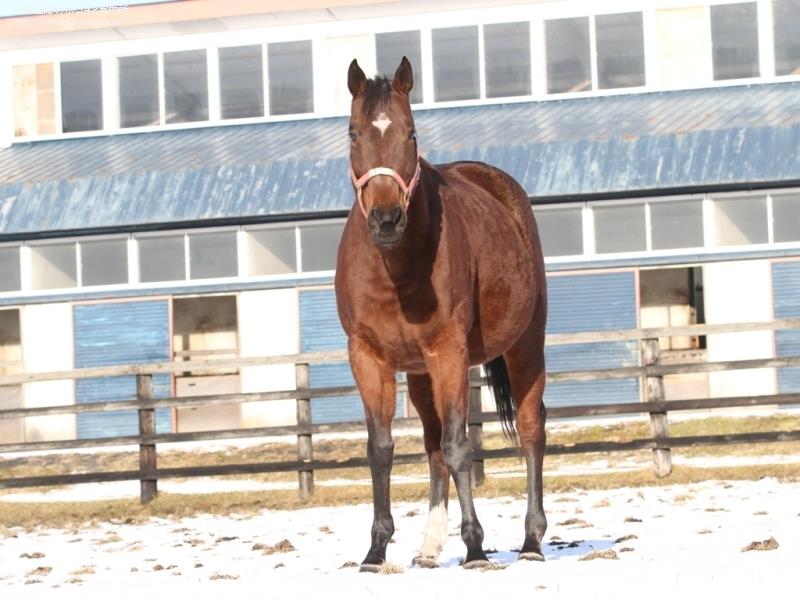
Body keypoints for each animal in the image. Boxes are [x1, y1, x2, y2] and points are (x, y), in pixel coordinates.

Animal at [334, 58, 548, 568]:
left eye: (411, 133)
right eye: (353, 133)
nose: (386, 219)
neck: (395, 268)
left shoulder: (448, 351)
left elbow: (458, 445)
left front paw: (475, 546)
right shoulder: (368, 358)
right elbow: (382, 449)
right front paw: (376, 549)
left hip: (525, 345)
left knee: (531, 431)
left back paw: (531, 542)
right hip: (419, 374)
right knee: (431, 445)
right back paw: (430, 547)